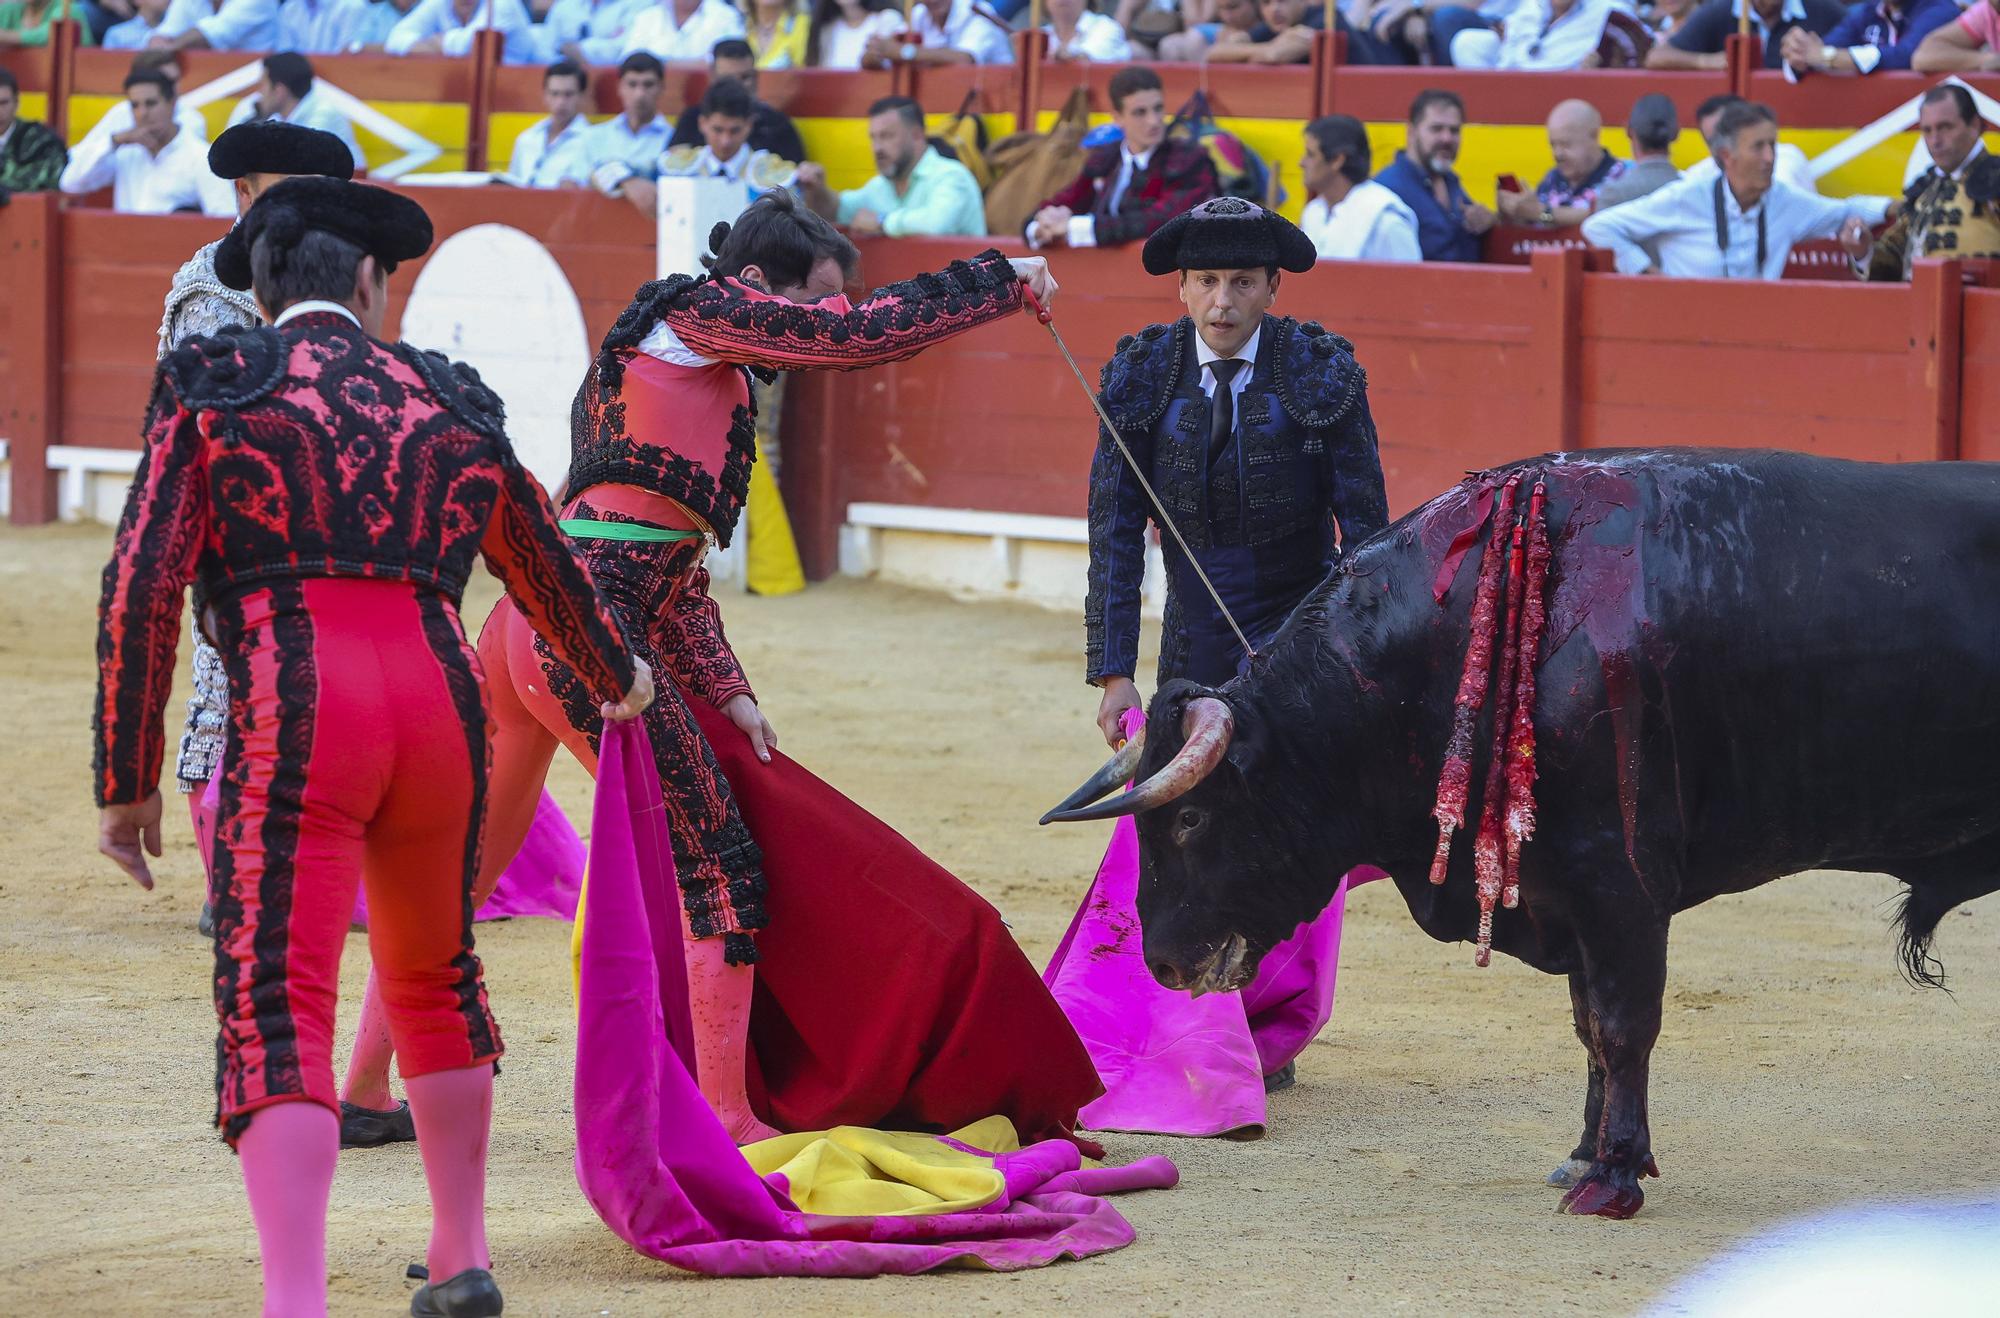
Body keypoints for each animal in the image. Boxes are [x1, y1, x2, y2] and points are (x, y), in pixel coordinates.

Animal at [1040, 452, 2000, 1216]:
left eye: (1190, 816)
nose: (1164, 963)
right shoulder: (1562, 892)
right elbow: (1586, 1029)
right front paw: (1583, 1154)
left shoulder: (1621, 889)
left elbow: (1623, 1024)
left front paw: (1613, 1179)